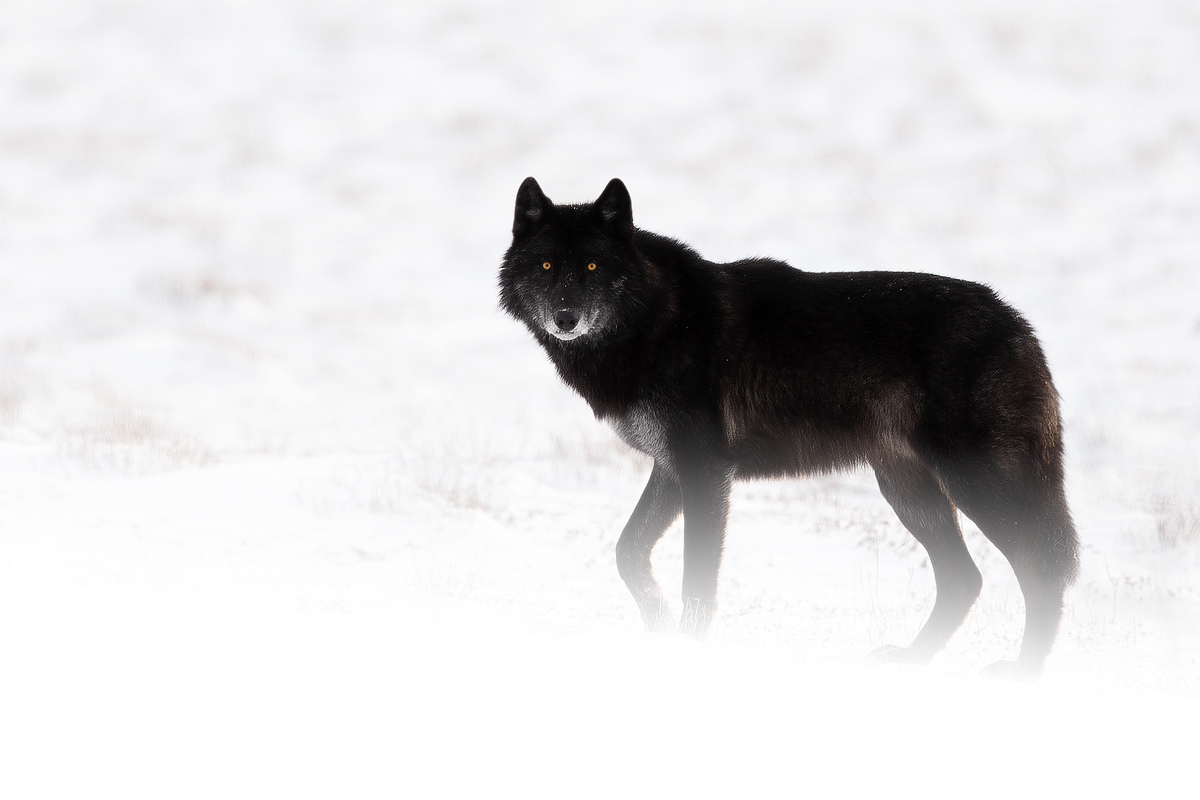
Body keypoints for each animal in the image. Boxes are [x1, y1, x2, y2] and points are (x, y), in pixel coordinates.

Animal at [499, 177, 1079, 677]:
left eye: (593, 265)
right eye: (547, 265)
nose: (566, 318)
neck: (655, 320)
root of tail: (1018, 325)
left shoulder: (704, 471)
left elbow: (697, 581)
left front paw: (687, 649)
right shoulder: (671, 468)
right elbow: (627, 552)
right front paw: (659, 629)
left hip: (976, 485)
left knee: (1040, 570)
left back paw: (1024, 672)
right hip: (906, 489)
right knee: (965, 579)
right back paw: (912, 660)